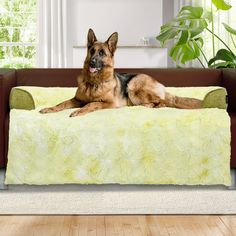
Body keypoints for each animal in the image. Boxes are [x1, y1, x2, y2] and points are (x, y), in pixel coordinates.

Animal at [39, 29, 202, 117]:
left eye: (102, 53)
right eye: (92, 51)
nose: (92, 62)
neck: (94, 82)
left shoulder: (109, 103)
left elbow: (91, 104)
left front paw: (79, 111)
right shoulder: (76, 99)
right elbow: (62, 103)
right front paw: (50, 109)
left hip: (133, 86)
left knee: (164, 102)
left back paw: (147, 106)